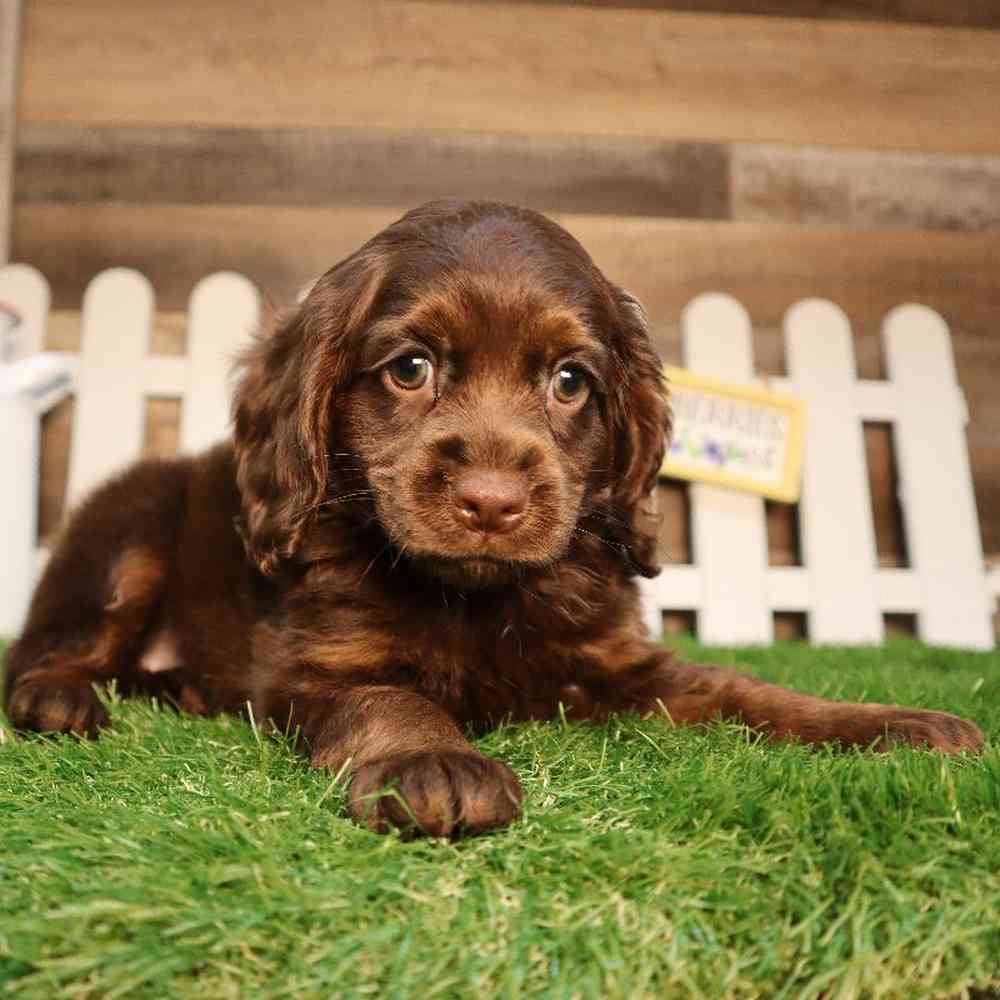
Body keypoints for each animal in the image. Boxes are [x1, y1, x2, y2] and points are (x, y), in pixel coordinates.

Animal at [1, 201, 984, 836]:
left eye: (570, 382)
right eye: (410, 368)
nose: (492, 503)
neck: (474, 598)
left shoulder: (620, 662)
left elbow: (747, 690)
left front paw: (888, 725)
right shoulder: (319, 667)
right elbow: (389, 696)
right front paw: (435, 764)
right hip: (124, 538)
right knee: (50, 646)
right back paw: (60, 699)